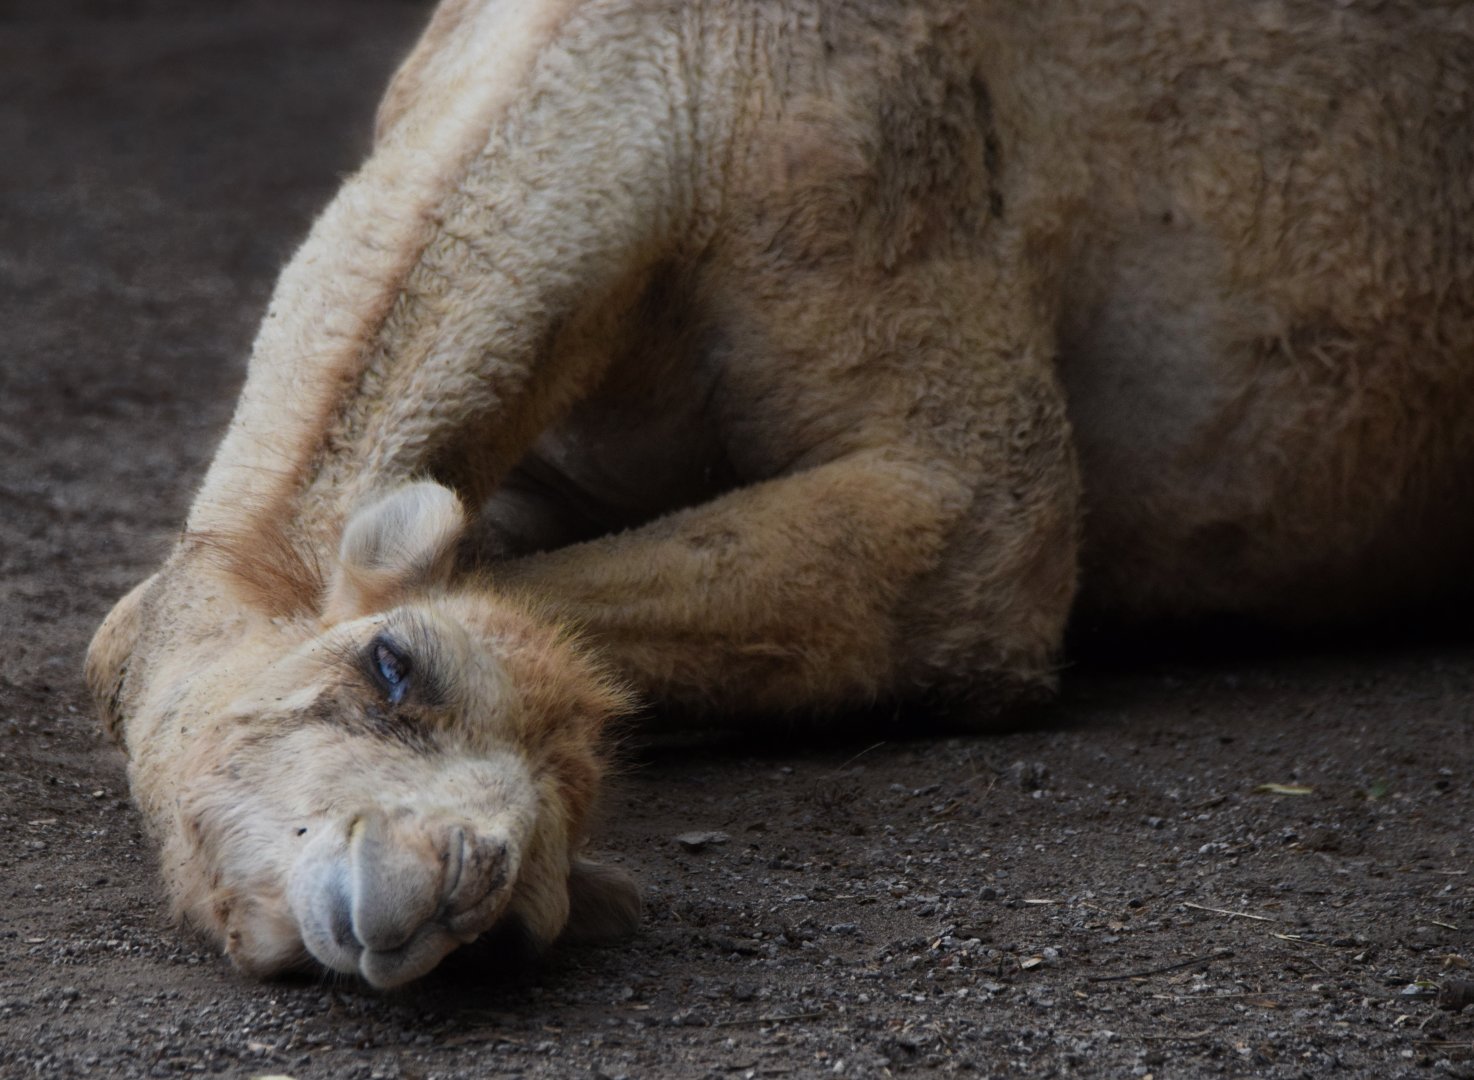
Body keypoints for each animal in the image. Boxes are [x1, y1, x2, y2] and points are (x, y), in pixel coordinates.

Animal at [86, 0, 1474, 988]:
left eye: (525, 920)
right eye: (391, 665)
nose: (451, 880)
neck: (697, 76)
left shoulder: (938, 365)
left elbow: (984, 543)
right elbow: (119, 636)